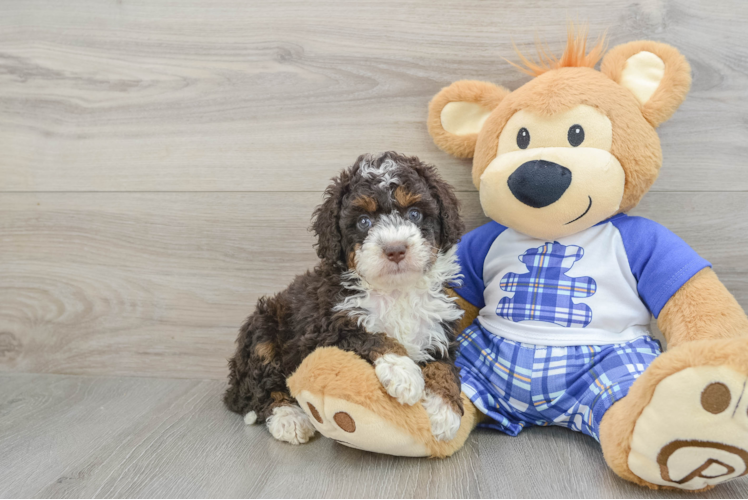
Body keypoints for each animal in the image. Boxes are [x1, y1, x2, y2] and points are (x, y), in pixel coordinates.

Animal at [225, 151, 464, 446]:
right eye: (363, 222)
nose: (395, 249)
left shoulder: (438, 331)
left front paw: (445, 412)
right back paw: (288, 418)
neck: (395, 291)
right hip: (262, 329)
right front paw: (403, 372)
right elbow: (368, 335)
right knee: (261, 388)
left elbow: (444, 368)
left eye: (415, 213)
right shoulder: (323, 330)